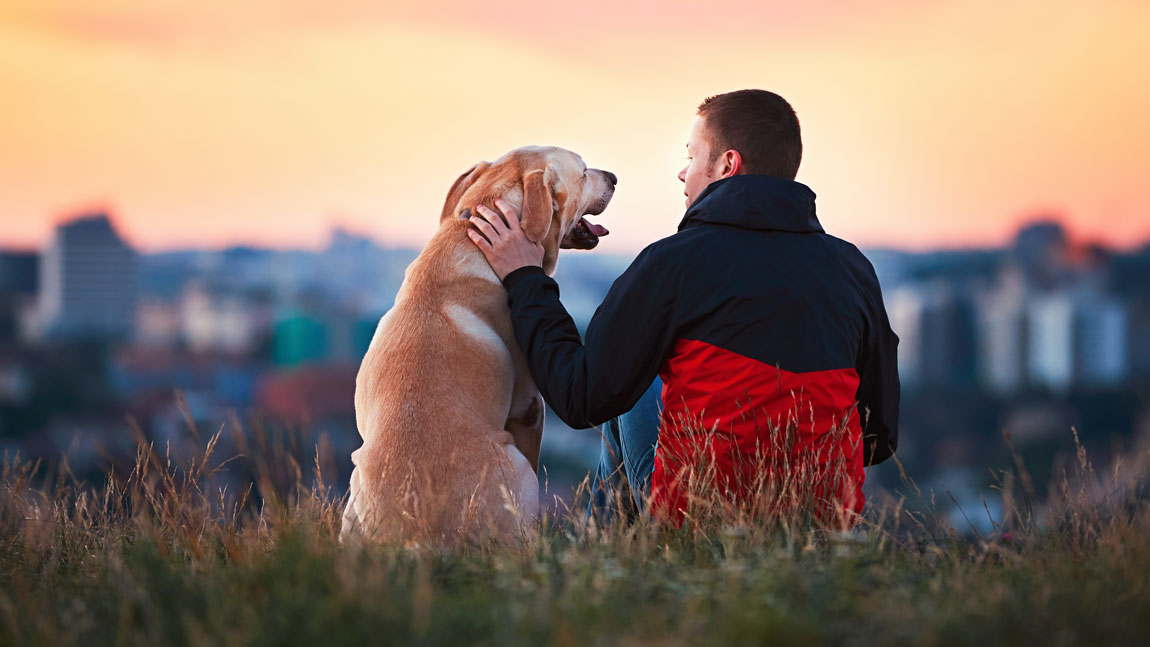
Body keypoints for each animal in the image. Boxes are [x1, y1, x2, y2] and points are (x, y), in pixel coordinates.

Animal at [338, 145, 616, 547]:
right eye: (582, 172)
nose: (614, 177)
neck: (470, 237)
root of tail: (417, 537)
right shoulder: (530, 406)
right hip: (517, 468)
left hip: (353, 490)